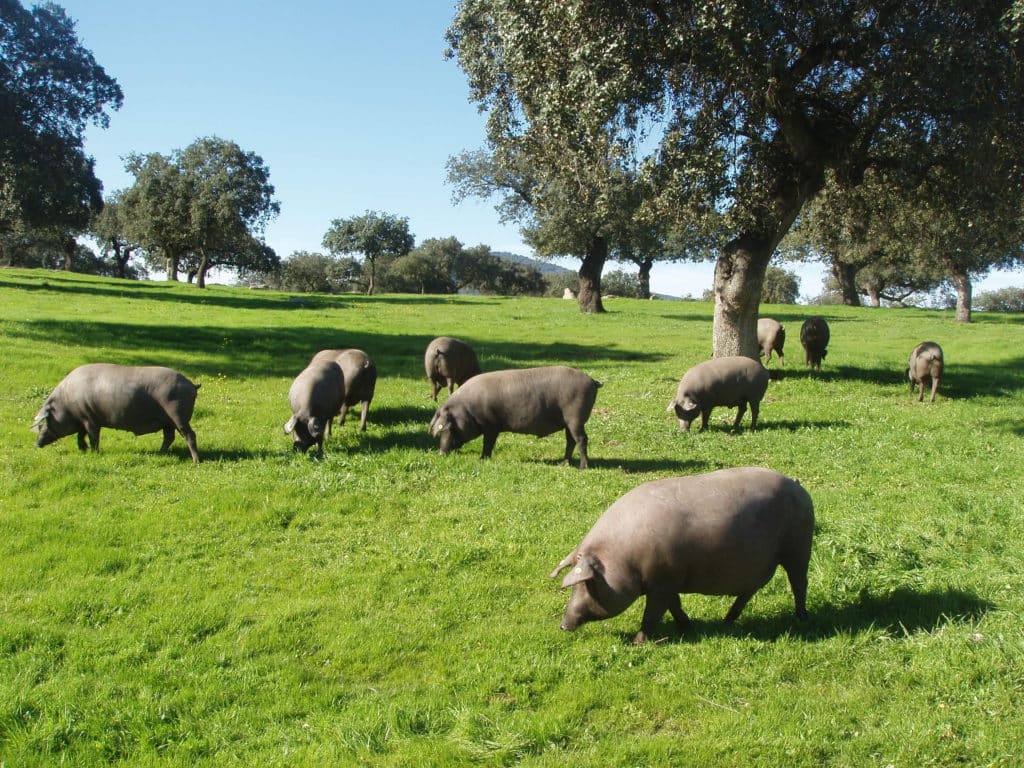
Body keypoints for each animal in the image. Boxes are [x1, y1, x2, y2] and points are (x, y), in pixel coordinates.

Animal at [30, 364, 202, 466]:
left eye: (45, 422)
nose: (36, 444)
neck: (66, 404)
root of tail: (191, 384)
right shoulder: (83, 419)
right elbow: (81, 435)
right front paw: (82, 450)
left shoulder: (90, 418)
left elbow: (92, 437)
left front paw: (94, 453)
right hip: (167, 421)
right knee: (169, 437)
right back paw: (160, 454)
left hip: (178, 415)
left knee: (190, 435)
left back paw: (195, 462)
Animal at [428, 366, 602, 468]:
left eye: (450, 427)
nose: (441, 453)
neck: (469, 409)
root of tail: (592, 381)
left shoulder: (491, 425)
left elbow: (488, 443)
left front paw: (482, 459)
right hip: (568, 422)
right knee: (570, 441)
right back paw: (563, 464)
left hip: (575, 417)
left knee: (581, 439)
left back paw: (583, 467)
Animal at [552, 468, 815, 643]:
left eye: (588, 584)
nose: (563, 625)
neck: (624, 558)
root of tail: (798, 486)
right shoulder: (668, 581)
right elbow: (675, 606)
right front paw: (688, 627)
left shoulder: (662, 583)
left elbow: (653, 614)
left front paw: (638, 643)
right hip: (764, 564)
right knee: (750, 591)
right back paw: (727, 621)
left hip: (799, 547)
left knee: (799, 583)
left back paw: (802, 619)